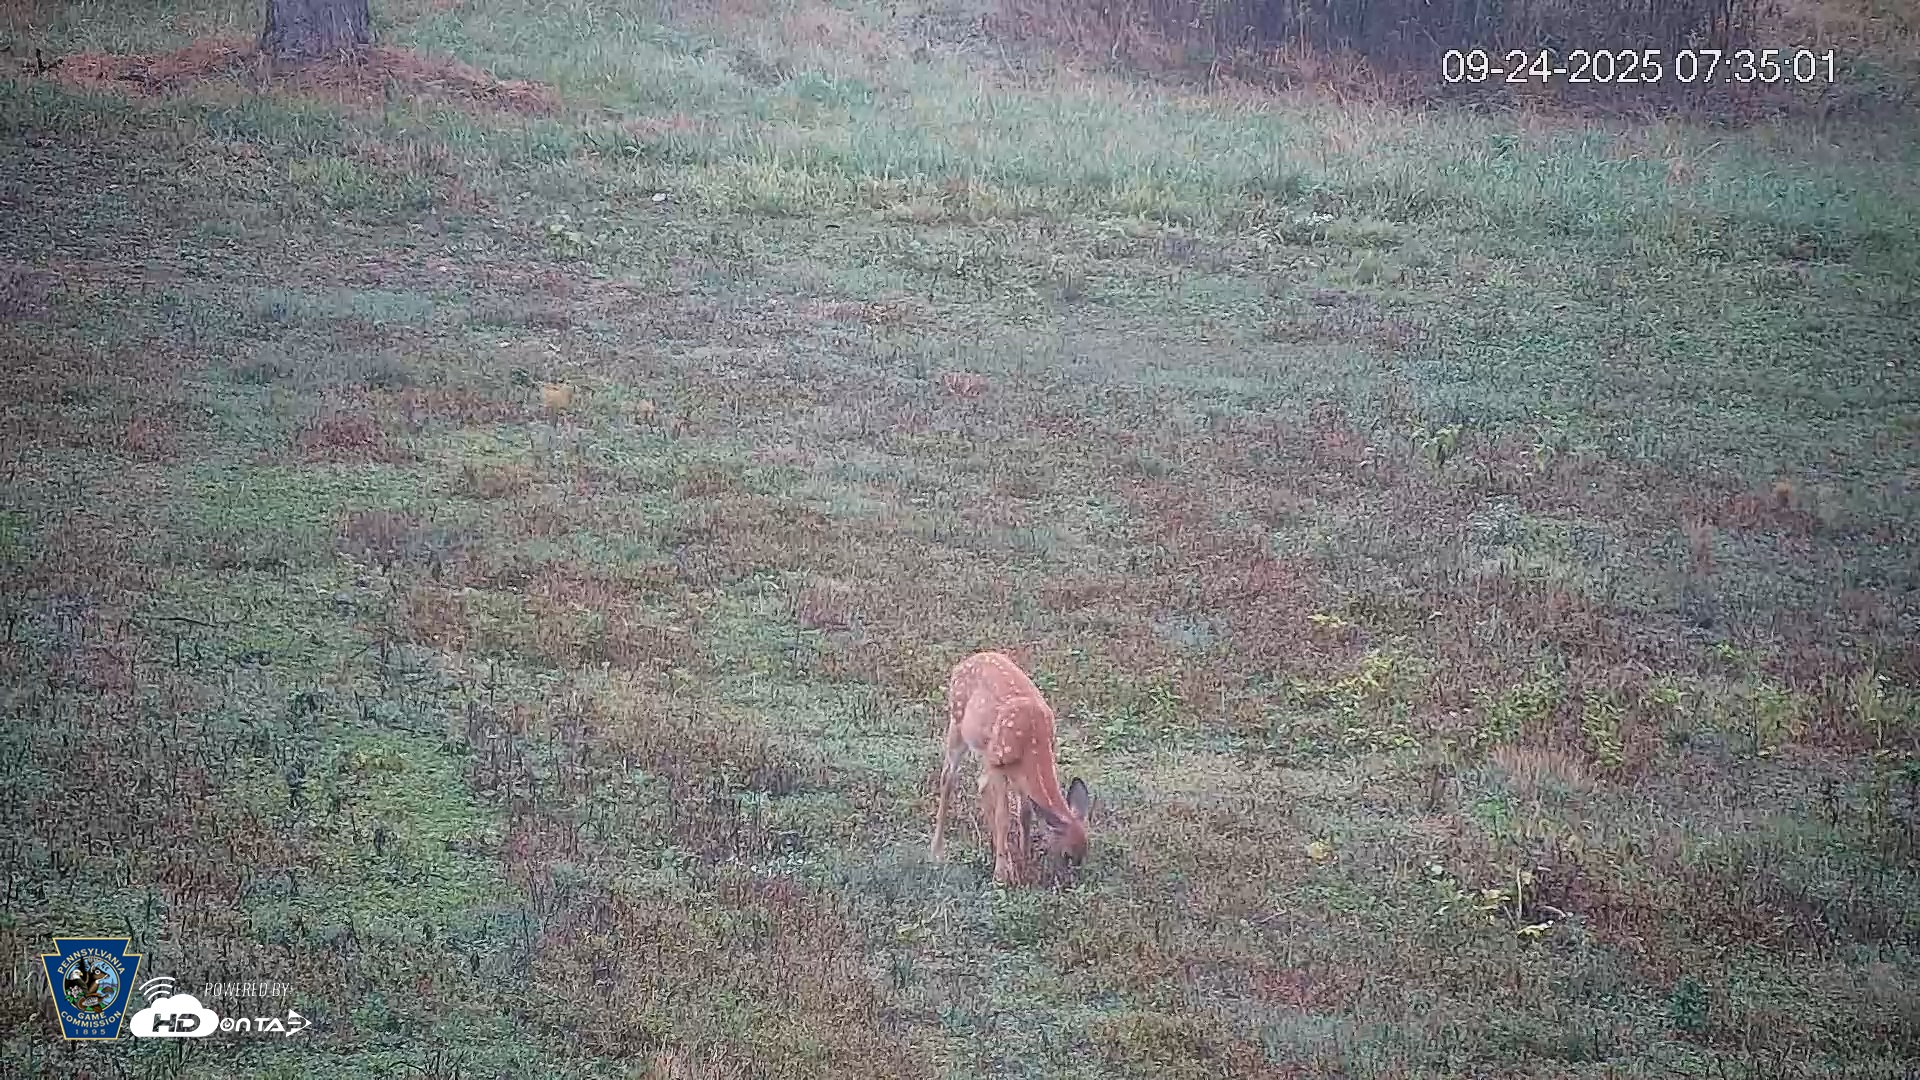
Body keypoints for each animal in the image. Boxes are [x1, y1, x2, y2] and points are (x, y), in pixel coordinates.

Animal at [931, 650, 1093, 885]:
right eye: (1067, 854)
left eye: (1084, 853)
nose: (1070, 883)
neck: (1032, 741)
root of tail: (963, 663)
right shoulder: (998, 763)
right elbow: (1003, 818)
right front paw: (1001, 873)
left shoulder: (1019, 774)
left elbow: (1025, 813)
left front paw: (1024, 860)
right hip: (958, 724)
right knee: (948, 778)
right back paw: (937, 852)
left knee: (980, 786)